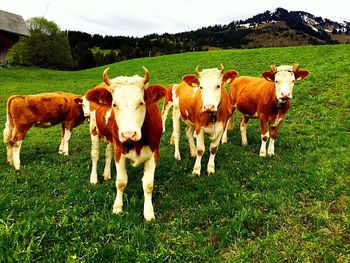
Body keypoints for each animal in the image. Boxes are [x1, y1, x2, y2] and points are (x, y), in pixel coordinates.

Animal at [80, 67, 165, 222]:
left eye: (141, 102)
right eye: (114, 104)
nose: (128, 134)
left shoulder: (154, 151)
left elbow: (148, 184)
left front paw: (149, 212)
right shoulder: (119, 150)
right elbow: (121, 182)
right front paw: (117, 207)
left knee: (108, 153)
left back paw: (107, 174)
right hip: (94, 129)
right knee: (95, 154)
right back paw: (94, 178)